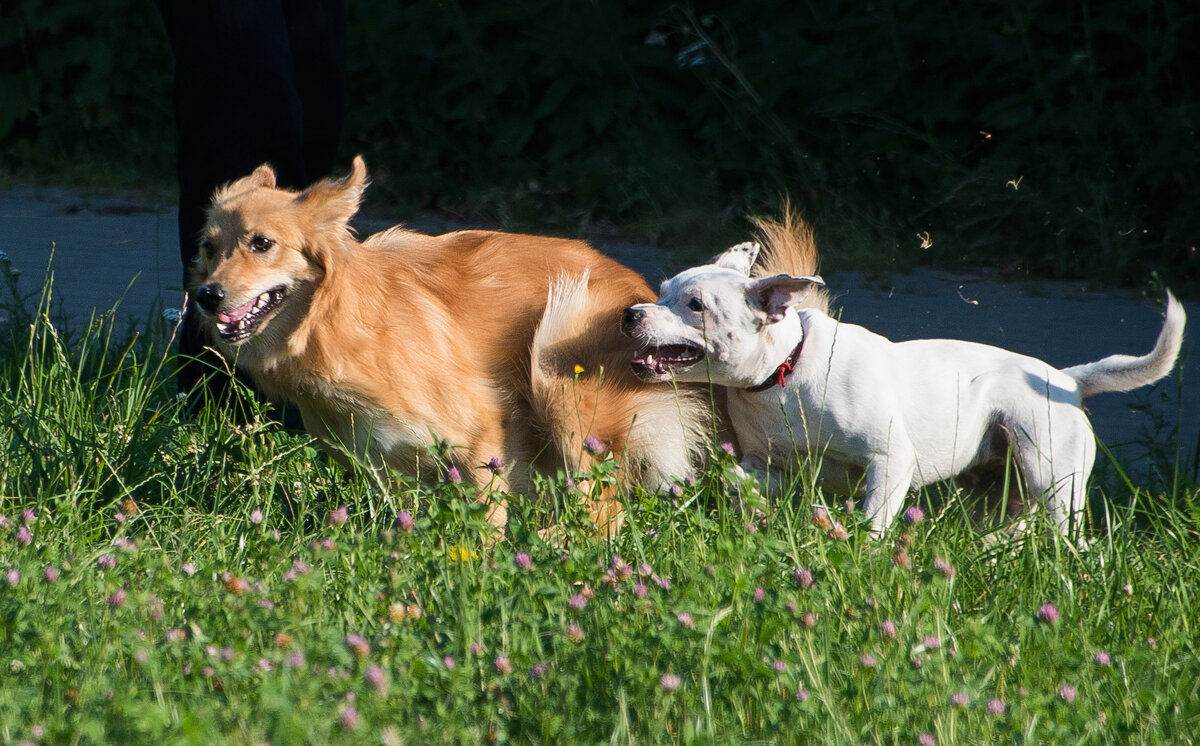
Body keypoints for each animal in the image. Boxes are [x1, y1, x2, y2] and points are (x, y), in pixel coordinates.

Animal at [190, 155, 705, 532]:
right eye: (209, 248)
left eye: (262, 243)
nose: (205, 296)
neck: (333, 322)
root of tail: (646, 293)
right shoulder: (388, 467)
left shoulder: (482, 436)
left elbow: (485, 525)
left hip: (558, 361)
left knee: (602, 514)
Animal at [624, 241, 1185, 537]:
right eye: (662, 292)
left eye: (695, 305)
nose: (631, 314)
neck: (783, 373)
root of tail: (1067, 380)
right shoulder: (766, 463)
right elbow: (737, 478)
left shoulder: (889, 459)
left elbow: (875, 517)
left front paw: (865, 547)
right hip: (1002, 492)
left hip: (1052, 479)